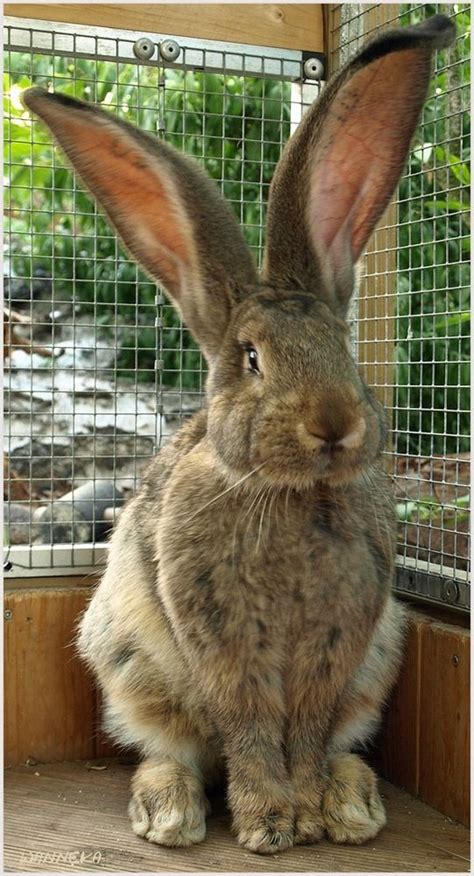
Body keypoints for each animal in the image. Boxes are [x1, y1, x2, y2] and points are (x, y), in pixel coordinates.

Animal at [22, 13, 456, 856]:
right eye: (251, 358)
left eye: (341, 344)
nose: (334, 424)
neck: (287, 494)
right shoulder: (223, 634)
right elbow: (252, 724)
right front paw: (268, 825)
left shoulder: (342, 636)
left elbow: (308, 727)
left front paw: (310, 810)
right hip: (131, 665)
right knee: (169, 749)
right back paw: (170, 812)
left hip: (376, 661)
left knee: (340, 739)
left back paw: (353, 804)